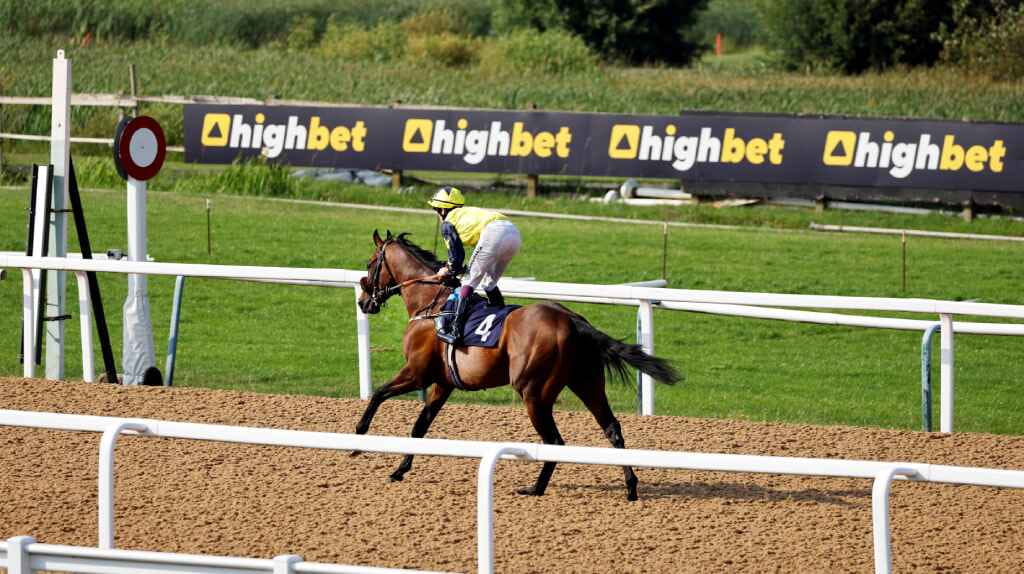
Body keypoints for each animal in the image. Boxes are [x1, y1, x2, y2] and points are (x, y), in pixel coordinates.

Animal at [354, 229, 680, 501]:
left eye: (370, 263)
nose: (363, 301)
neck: (430, 303)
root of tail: (573, 320)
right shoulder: (443, 383)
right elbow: (419, 426)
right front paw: (399, 469)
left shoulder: (417, 374)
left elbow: (379, 394)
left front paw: (358, 439)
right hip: (586, 383)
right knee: (612, 429)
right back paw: (631, 487)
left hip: (534, 392)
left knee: (554, 440)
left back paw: (536, 488)